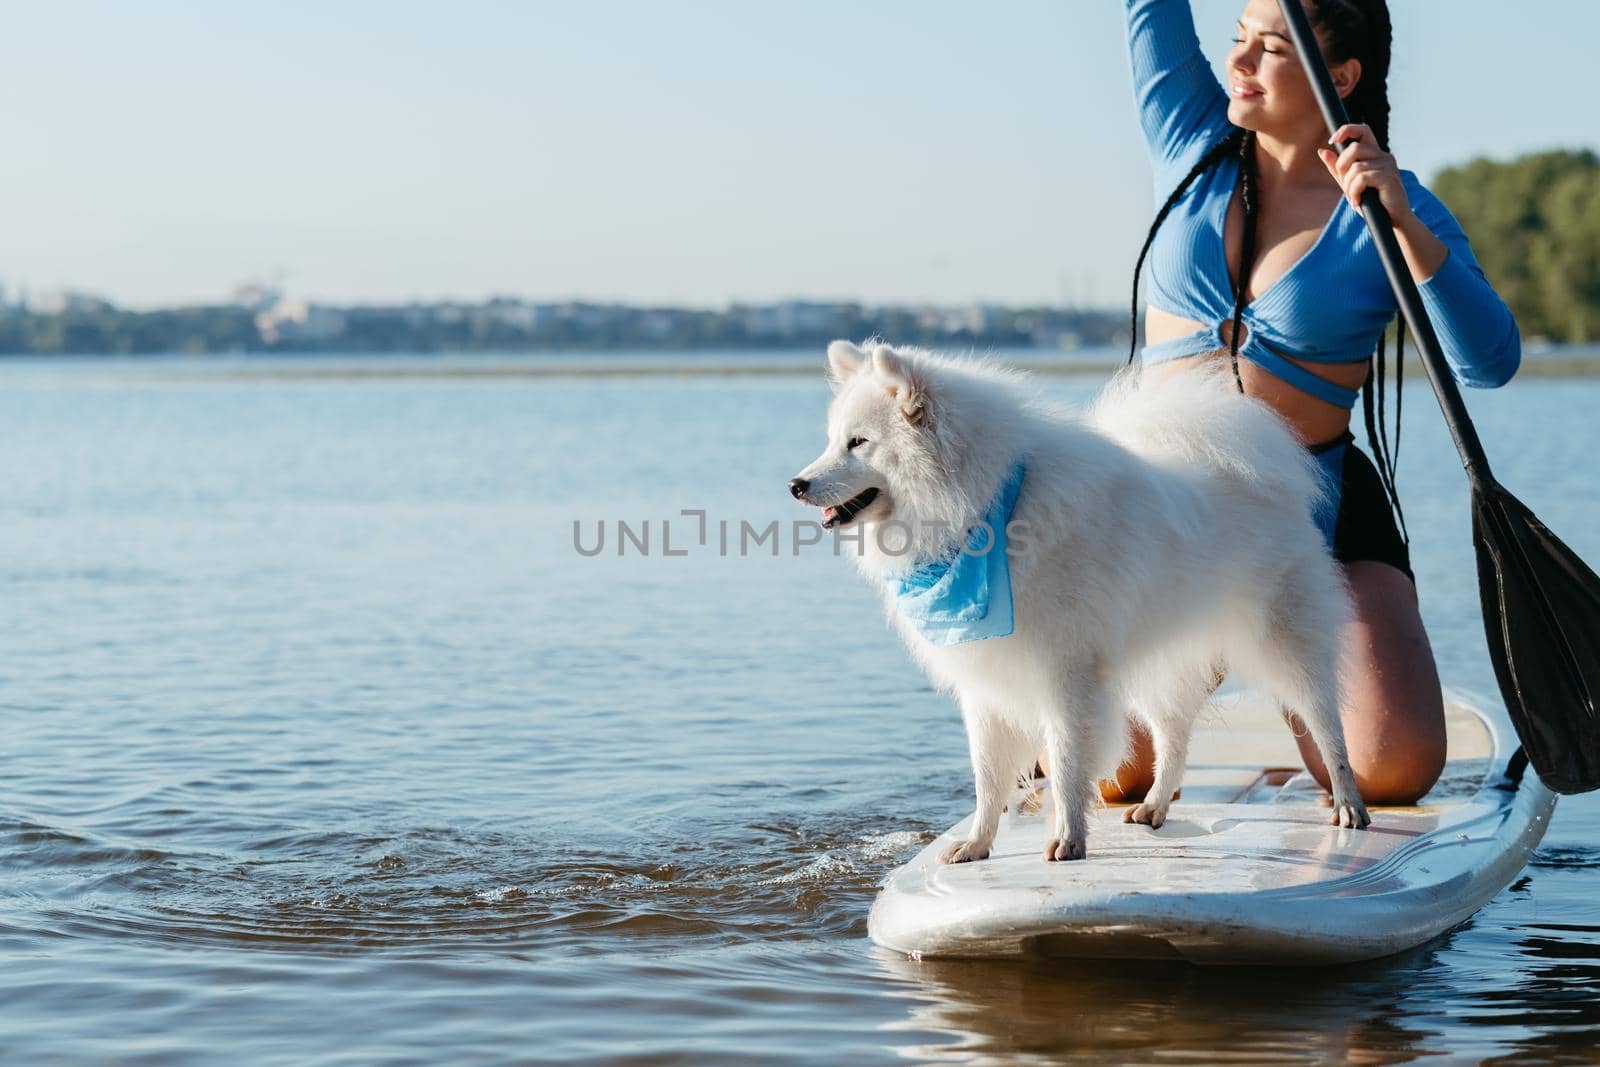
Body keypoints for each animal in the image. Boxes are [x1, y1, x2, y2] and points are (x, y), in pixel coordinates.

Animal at [793, 342, 1369, 857]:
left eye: (859, 442)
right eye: (832, 441)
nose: (796, 484)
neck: (987, 509)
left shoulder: (1067, 672)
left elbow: (1068, 760)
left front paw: (1069, 839)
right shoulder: (986, 679)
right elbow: (987, 773)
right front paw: (978, 843)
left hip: (1284, 643)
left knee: (1327, 725)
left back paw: (1349, 805)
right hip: (1162, 660)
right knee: (1175, 734)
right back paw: (1156, 805)